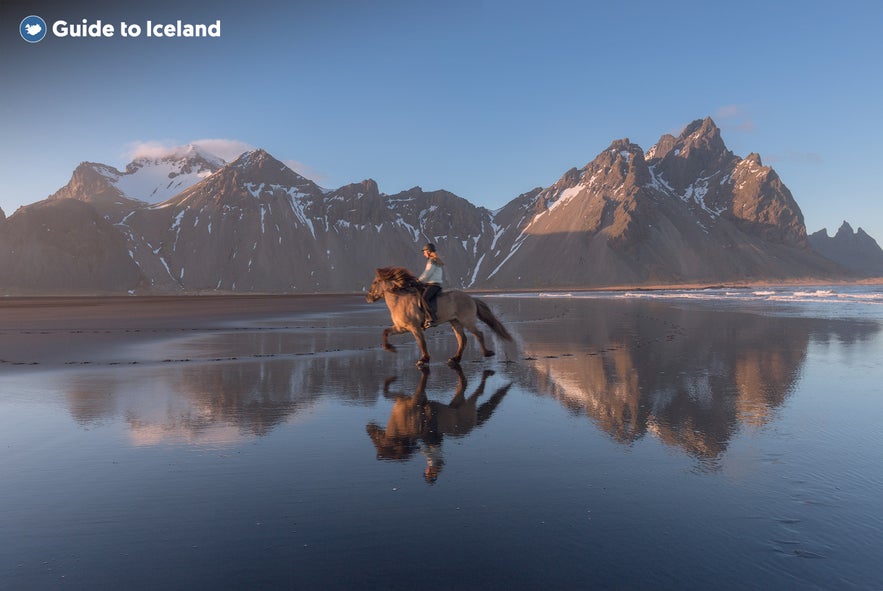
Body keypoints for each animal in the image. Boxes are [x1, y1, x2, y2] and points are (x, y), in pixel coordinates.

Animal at [364, 268, 516, 368]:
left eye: (375, 282)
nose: (368, 297)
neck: (400, 301)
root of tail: (471, 298)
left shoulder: (414, 328)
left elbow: (421, 343)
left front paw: (423, 360)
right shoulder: (402, 328)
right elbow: (385, 332)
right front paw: (390, 349)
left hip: (466, 321)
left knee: (478, 334)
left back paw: (486, 353)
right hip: (455, 322)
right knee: (462, 339)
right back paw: (455, 359)